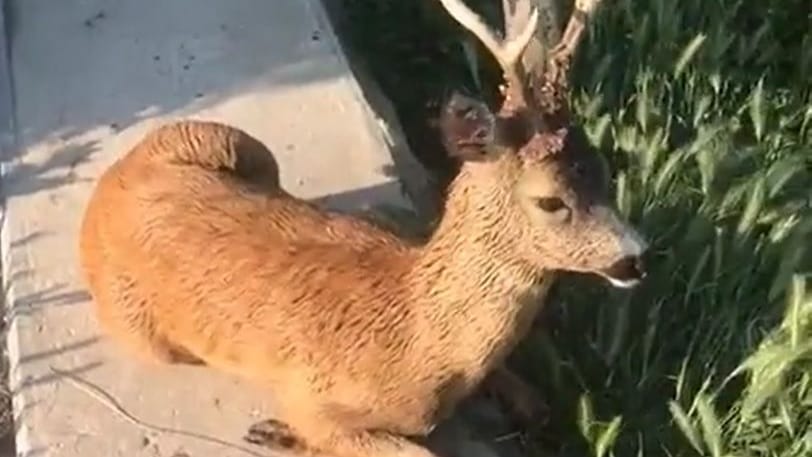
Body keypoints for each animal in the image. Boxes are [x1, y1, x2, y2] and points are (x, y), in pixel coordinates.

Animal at [77, 0, 648, 454]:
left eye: (605, 171)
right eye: (551, 200)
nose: (637, 257)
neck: (424, 343)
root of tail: (110, 182)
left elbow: (538, 403)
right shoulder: (316, 397)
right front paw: (279, 432)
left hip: (231, 140)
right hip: (144, 329)